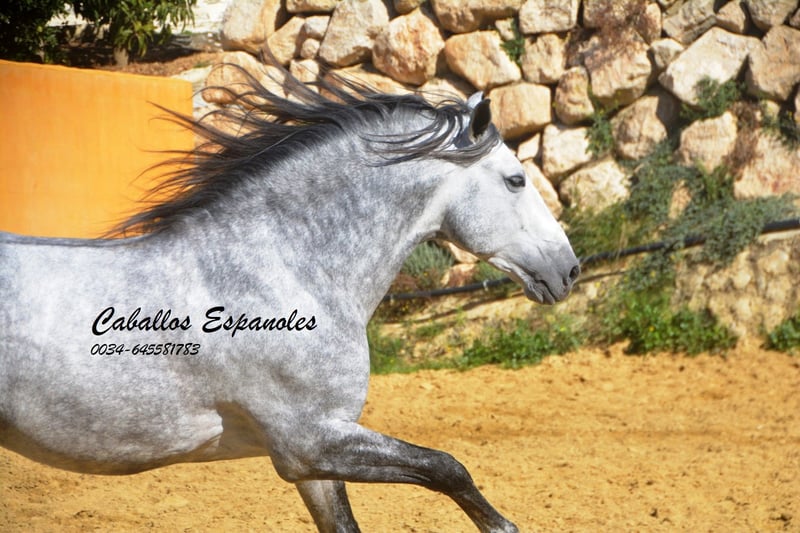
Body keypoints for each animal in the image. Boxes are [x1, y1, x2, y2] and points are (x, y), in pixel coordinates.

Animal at [0, 65, 579, 532]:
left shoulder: (315, 460)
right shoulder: (308, 442)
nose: (569, 270)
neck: (285, 269)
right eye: (515, 180)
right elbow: (447, 467)